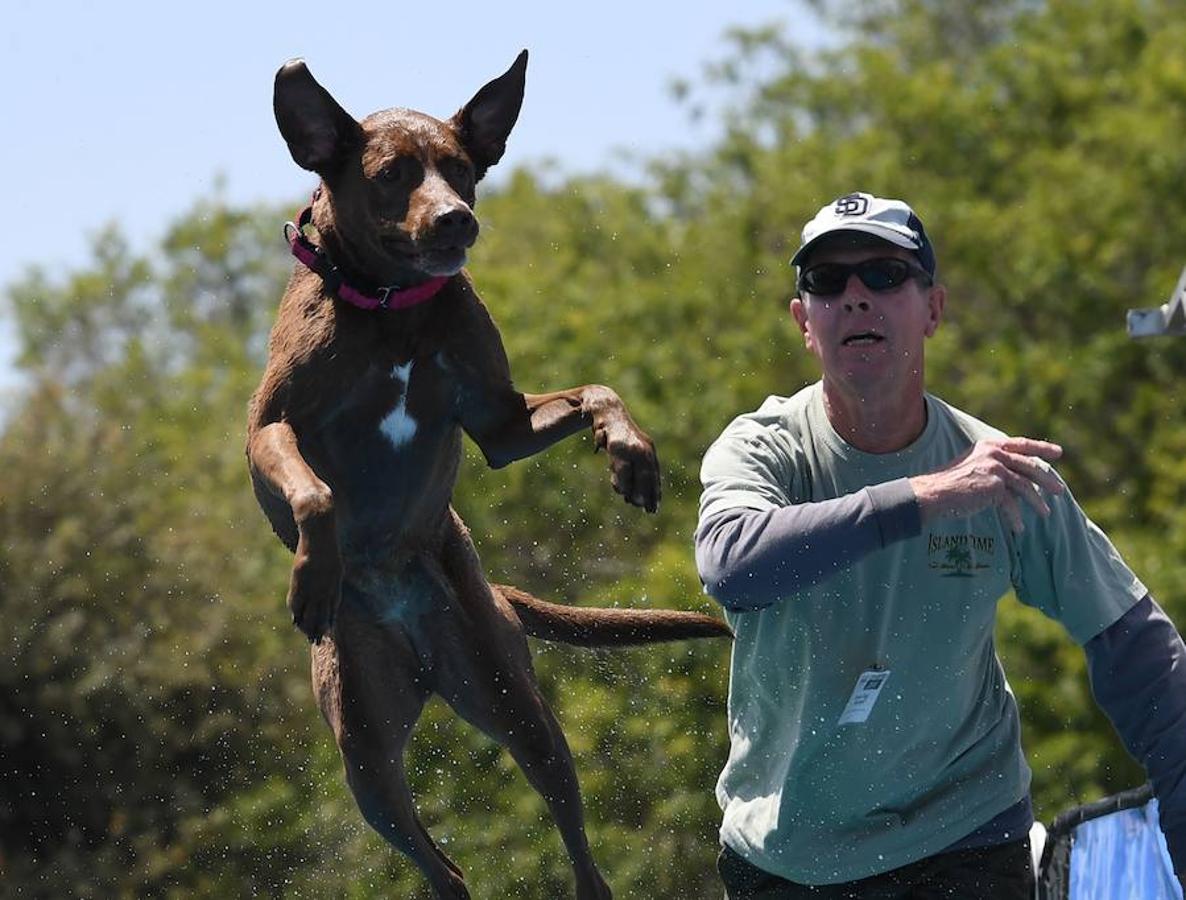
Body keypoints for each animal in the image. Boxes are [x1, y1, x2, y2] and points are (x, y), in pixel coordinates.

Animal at [247, 50, 730, 900]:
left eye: (463, 170)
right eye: (391, 173)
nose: (456, 220)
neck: (394, 310)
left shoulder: (500, 423)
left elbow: (598, 389)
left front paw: (631, 454)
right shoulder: (268, 429)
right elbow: (317, 489)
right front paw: (313, 574)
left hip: (514, 700)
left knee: (570, 844)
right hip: (364, 749)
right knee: (440, 865)